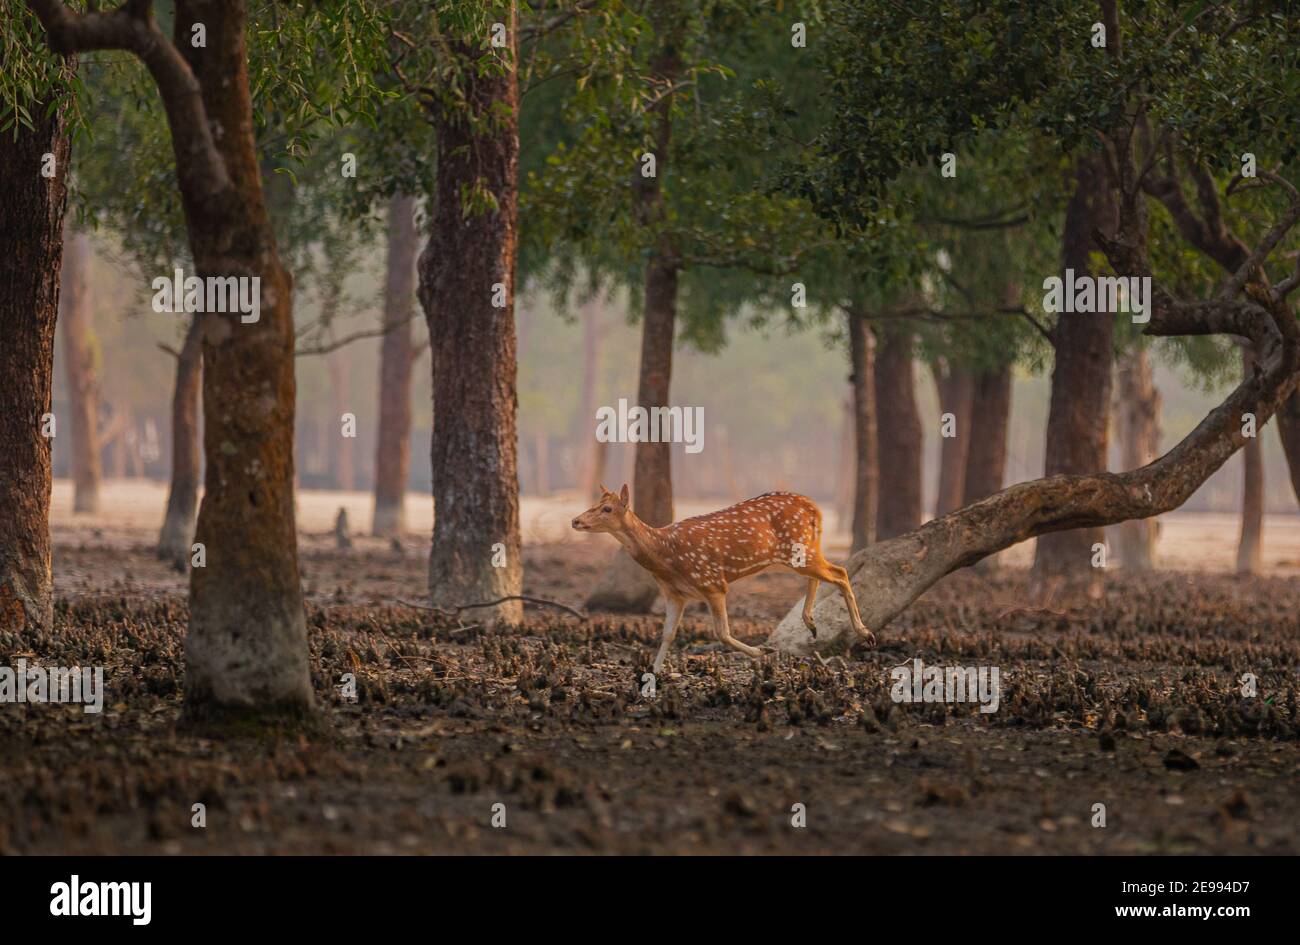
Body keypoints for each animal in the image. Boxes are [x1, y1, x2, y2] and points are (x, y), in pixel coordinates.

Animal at [572, 488, 868, 670]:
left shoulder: (712, 582)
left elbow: (722, 633)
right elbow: (667, 634)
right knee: (824, 575)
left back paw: (864, 632)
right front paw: (653, 675)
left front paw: (763, 653)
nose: (575, 520)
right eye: (594, 504)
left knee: (840, 573)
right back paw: (812, 623)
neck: (667, 556)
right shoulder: (675, 593)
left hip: (798, 550)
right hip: (793, 556)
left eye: (607, 508)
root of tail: (815, 509)